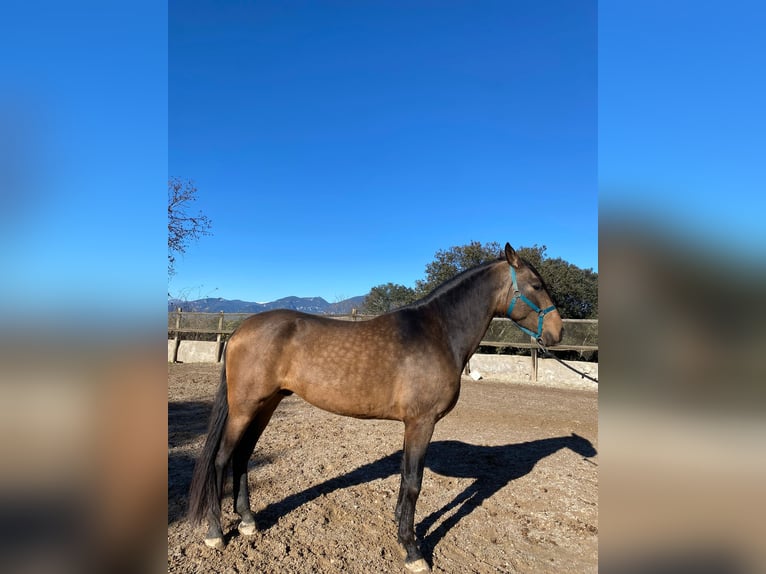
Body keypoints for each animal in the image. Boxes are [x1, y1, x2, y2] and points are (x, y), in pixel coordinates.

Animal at [190, 242, 568, 572]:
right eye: (536, 285)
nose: (557, 333)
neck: (438, 332)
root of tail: (241, 329)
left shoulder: (413, 426)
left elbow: (405, 478)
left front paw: (400, 528)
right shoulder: (422, 422)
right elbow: (414, 482)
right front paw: (413, 551)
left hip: (265, 405)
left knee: (242, 456)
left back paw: (248, 522)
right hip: (244, 408)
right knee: (222, 459)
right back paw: (215, 533)